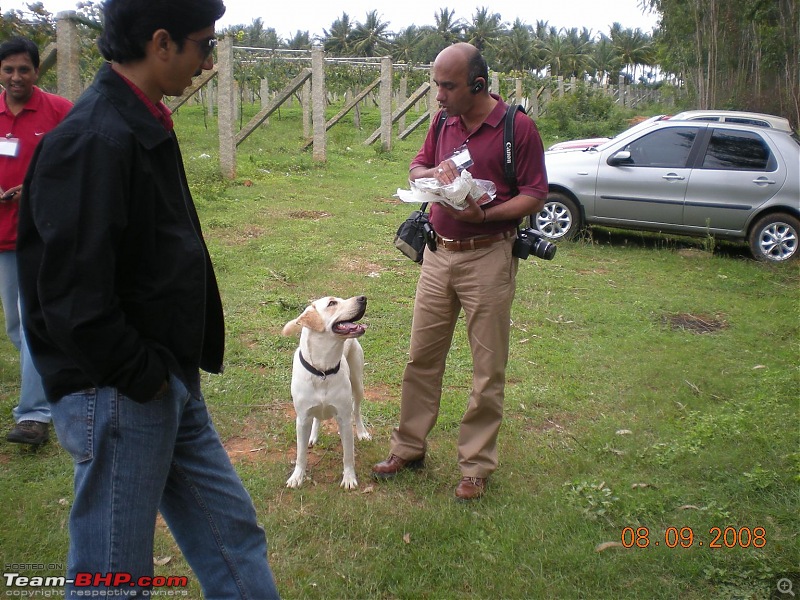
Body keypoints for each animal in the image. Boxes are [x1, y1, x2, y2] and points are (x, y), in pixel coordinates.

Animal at [280, 294, 370, 488]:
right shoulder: (302, 419)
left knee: (357, 410)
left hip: (358, 384)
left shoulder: (344, 418)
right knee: (317, 417)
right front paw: (297, 476)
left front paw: (349, 478)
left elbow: (348, 454)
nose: (363, 298)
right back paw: (313, 436)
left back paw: (362, 432)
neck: (322, 370)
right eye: (332, 303)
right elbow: (300, 454)